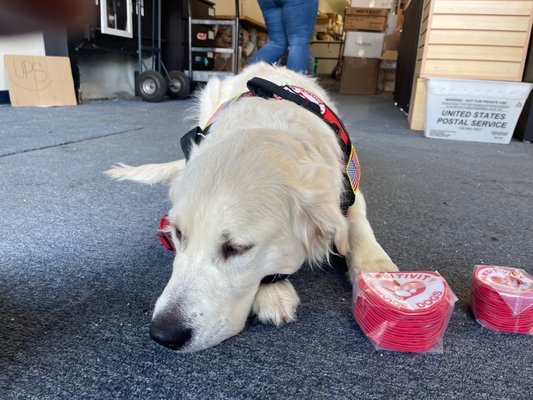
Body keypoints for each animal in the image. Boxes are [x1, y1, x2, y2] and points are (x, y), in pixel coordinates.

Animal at [106, 61, 396, 350]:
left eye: (237, 248)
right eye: (177, 233)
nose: (163, 334)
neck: (273, 126)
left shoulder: (350, 186)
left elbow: (357, 225)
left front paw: (376, 268)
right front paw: (272, 292)